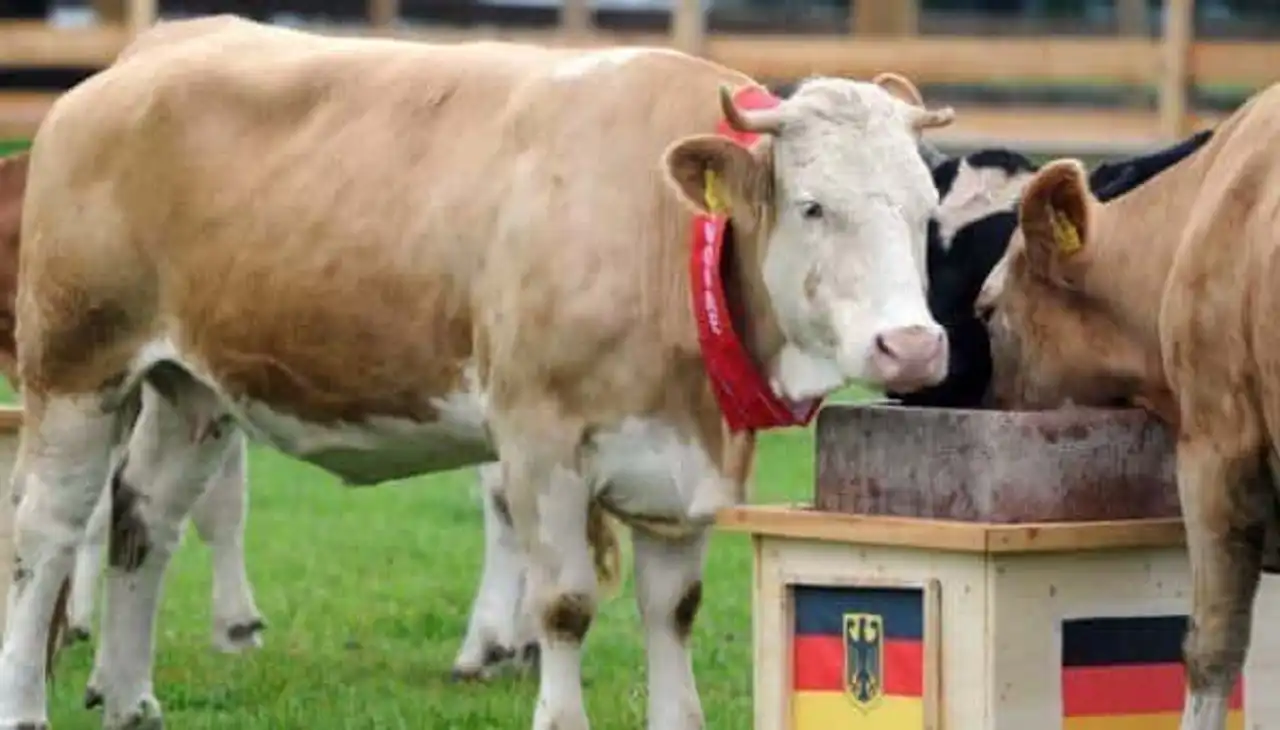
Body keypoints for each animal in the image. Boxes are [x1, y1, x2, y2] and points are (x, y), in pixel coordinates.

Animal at [0, 15, 957, 730]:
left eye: (926, 209)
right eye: (813, 206)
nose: (911, 347)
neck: (656, 230)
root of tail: (146, 54)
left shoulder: (686, 472)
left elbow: (673, 611)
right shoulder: (540, 441)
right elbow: (564, 603)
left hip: (191, 390)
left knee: (146, 518)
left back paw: (130, 699)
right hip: (76, 369)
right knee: (46, 534)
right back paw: (28, 704)